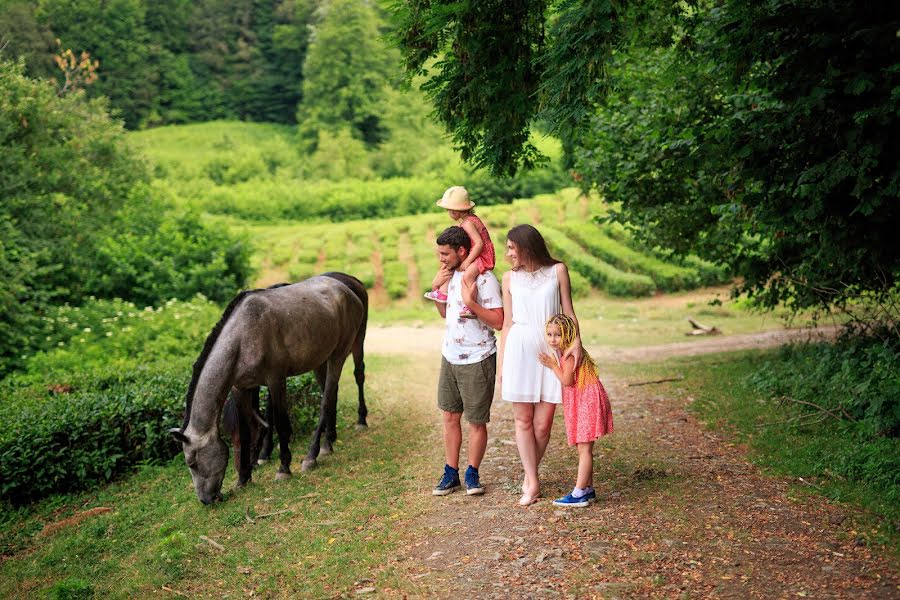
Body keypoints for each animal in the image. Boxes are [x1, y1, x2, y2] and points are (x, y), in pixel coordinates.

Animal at [167, 272, 368, 502]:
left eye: (192, 463)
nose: (206, 500)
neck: (243, 337)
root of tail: (348, 289)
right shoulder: (240, 389)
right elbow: (246, 430)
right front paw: (243, 479)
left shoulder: (276, 379)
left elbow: (280, 423)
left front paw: (283, 469)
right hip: (320, 360)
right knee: (331, 393)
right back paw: (328, 442)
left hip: (341, 353)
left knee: (329, 398)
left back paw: (315, 453)